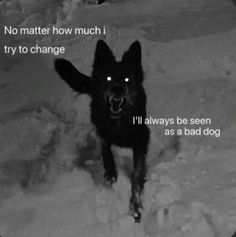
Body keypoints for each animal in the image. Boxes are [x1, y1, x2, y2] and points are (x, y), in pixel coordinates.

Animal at [54, 39, 150, 222]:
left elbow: (136, 174)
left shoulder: (141, 138)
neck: (118, 121)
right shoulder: (102, 130)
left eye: (127, 79)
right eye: (109, 77)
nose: (118, 89)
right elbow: (106, 149)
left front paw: (135, 207)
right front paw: (110, 173)